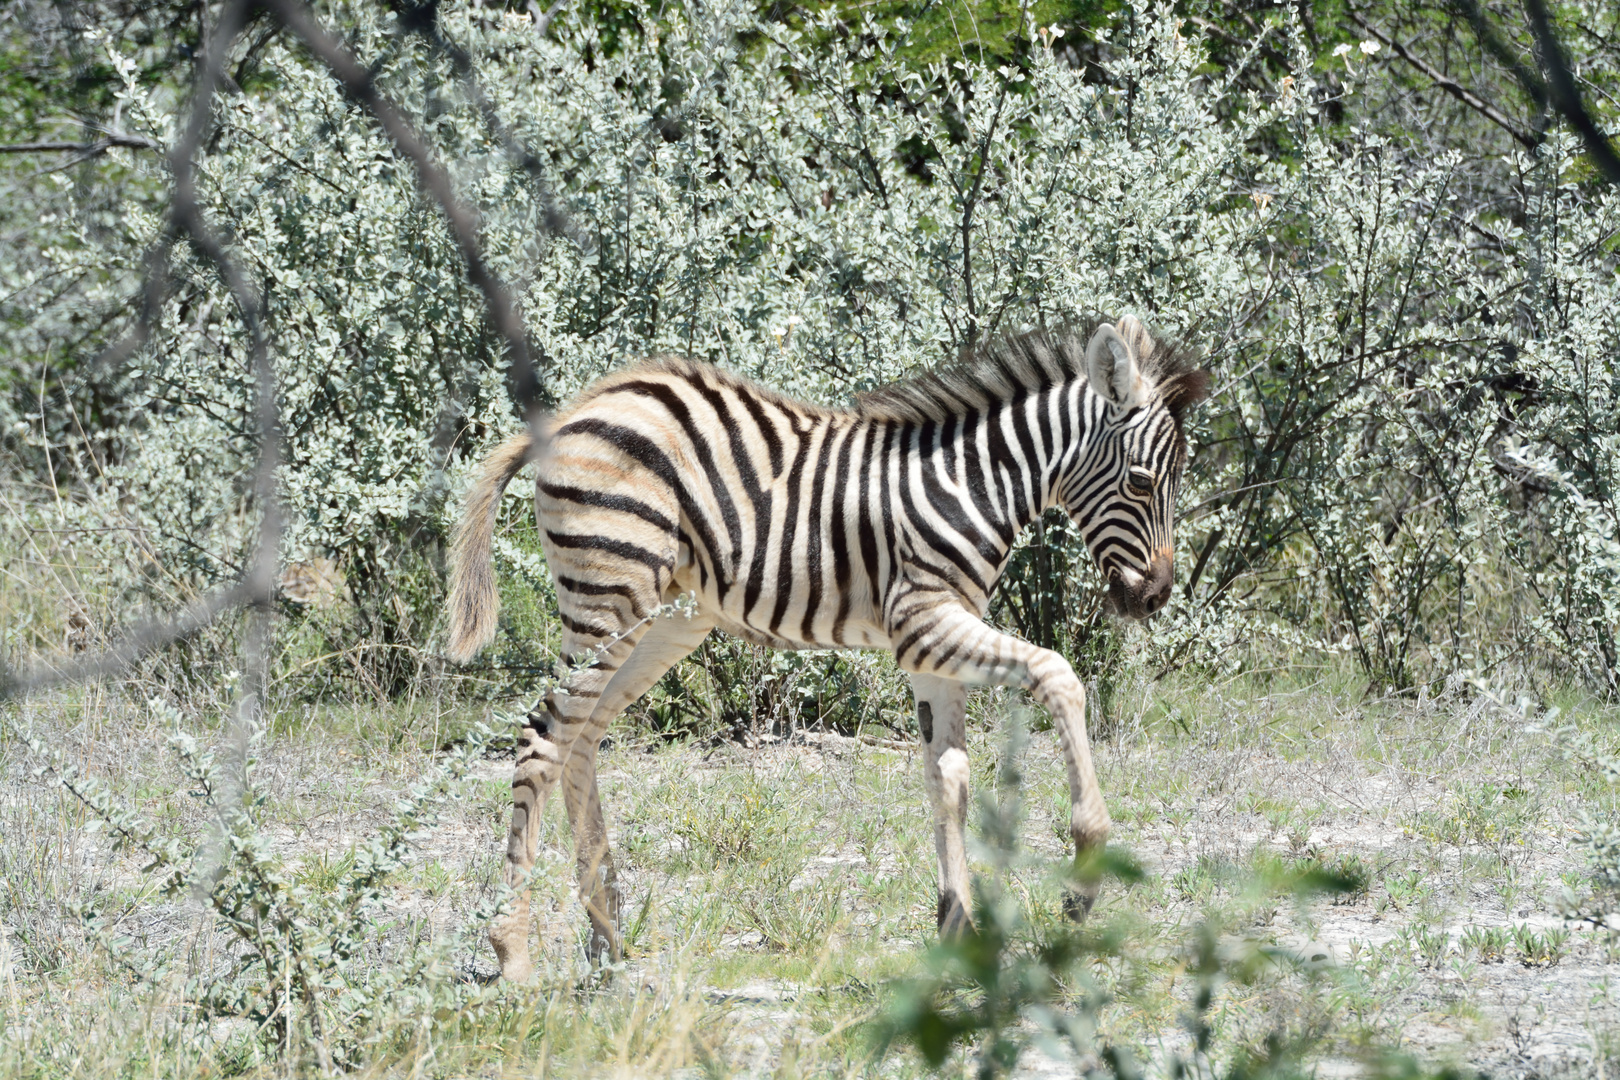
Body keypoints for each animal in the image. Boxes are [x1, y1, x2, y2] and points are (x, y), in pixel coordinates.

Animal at [450, 317, 1211, 984]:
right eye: (1143, 482)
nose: (1155, 597)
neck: (973, 486)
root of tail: (574, 410)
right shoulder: (923, 619)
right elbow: (1060, 675)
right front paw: (1085, 869)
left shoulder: (931, 646)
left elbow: (949, 780)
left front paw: (957, 931)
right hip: (608, 595)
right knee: (544, 737)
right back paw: (512, 952)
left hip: (666, 618)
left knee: (582, 739)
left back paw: (605, 936)